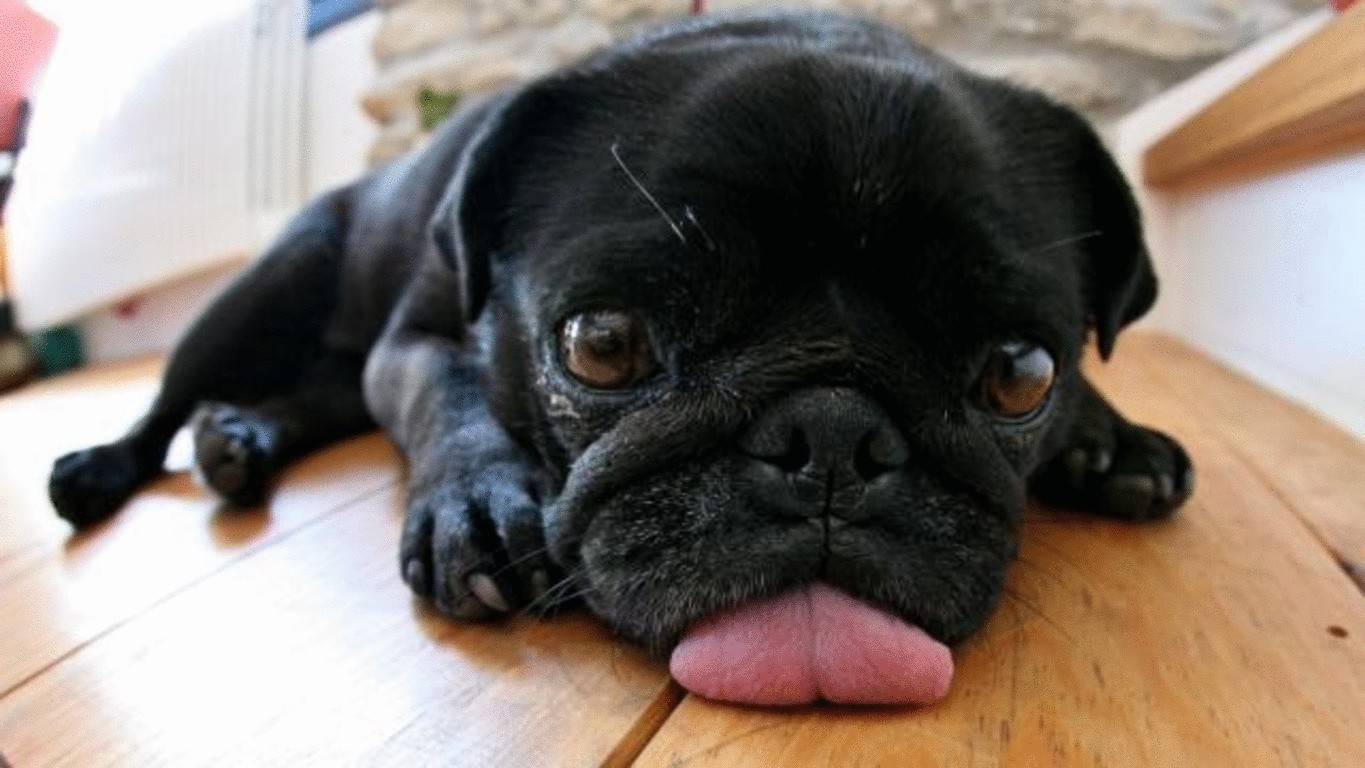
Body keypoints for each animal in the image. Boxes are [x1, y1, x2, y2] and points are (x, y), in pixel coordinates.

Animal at [48, 10, 1193, 706]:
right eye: (603, 347)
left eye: (1020, 373)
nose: (830, 434)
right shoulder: (412, 342)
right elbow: (452, 397)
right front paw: (479, 507)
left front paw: (1110, 437)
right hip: (261, 291)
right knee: (166, 404)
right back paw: (108, 469)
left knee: (302, 403)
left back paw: (239, 440)